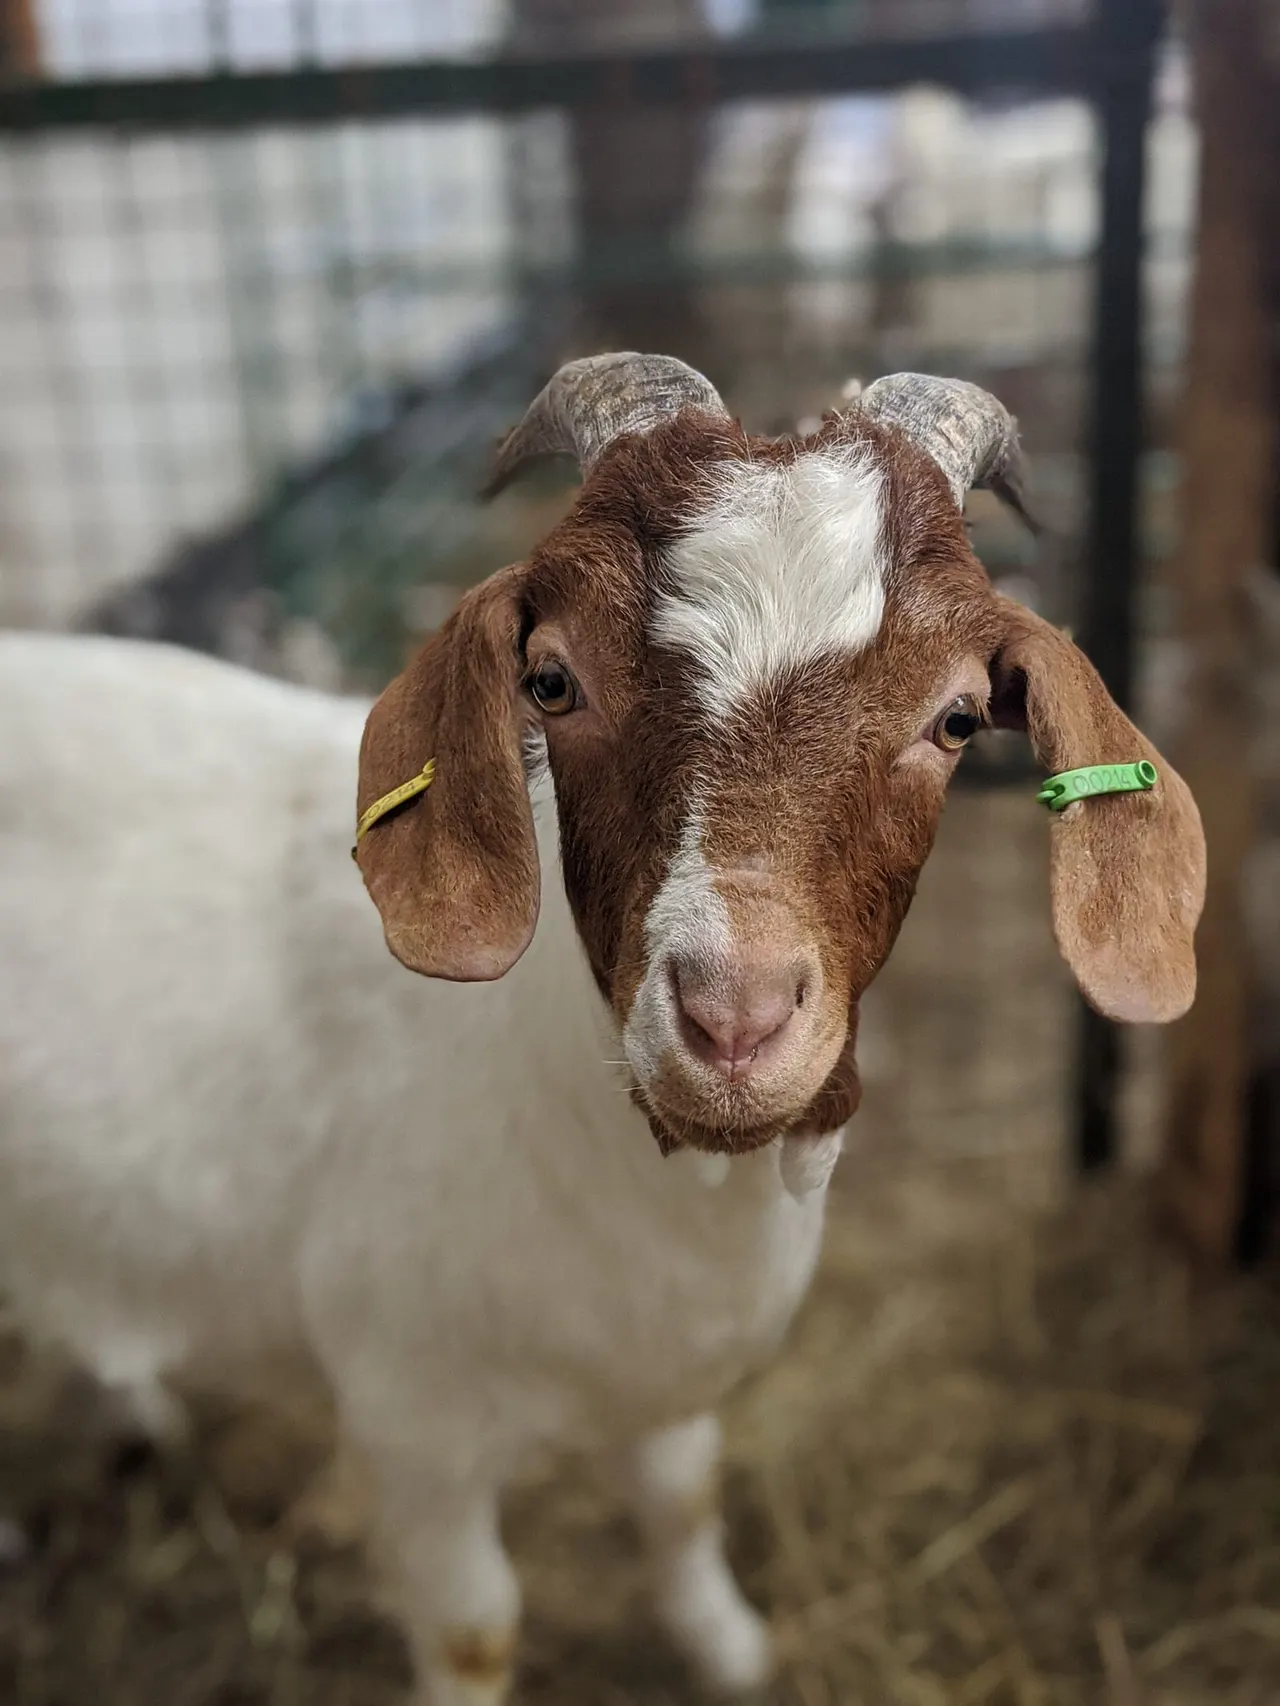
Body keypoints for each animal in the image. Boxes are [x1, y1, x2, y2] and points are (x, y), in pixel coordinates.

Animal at [0, 357, 1205, 1705]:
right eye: (551, 680)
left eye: (953, 718)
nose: (733, 1017)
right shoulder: (409, 1414)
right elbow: (474, 1625)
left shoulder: (662, 1371)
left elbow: (681, 1503)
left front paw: (732, 1650)